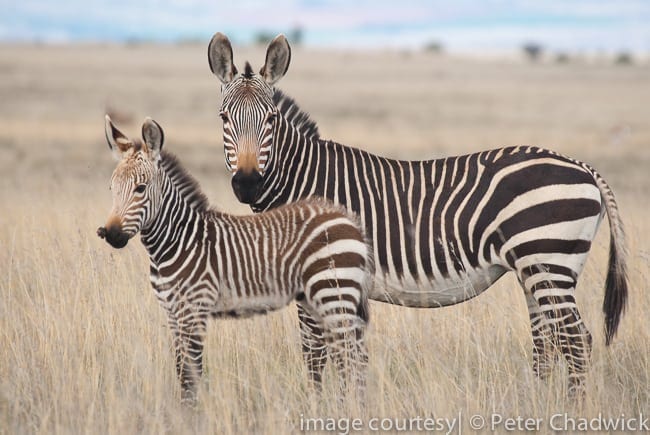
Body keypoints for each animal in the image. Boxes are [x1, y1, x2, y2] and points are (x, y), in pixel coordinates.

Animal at [97, 115, 371, 403]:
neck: (177, 240)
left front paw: (191, 411)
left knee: (351, 360)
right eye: (112, 188)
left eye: (140, 188)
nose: (111, 234)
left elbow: (190, 374)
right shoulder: (173, 312)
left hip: (333, 294)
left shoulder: (194, 309)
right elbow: (182, 369)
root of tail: (347, 220)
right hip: (319, 298)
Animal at [207, 32, 629, 395]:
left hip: (549, 260)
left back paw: (570, 409)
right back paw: (537, 405)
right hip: (536, 270)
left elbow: (317, 351)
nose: (247, 183)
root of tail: (583, 167)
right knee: (547, 341)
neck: (304, 180)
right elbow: (337, 352)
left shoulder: (322, 274)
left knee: (576, 341)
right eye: (223, 118)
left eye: (271, 120)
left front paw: (320, 406)